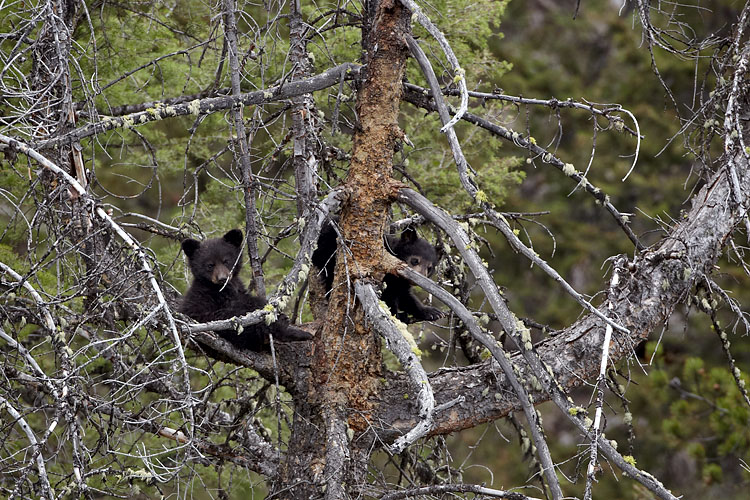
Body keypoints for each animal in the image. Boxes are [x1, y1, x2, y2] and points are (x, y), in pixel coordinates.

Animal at [179, 229, 311, 352]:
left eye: (226, 261)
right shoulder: (203, 300)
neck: (223, 288)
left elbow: (251, 299)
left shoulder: (239, 289)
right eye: (210, 265)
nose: (222, 278)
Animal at [311, 220, 445, 323]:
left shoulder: (401, 284)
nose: (419, 278)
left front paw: (431, 312)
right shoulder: (386, 276)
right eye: (415, 260)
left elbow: (406, 297)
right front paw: (398, 315)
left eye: (430, 268)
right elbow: (388, 296)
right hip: (328, 254)